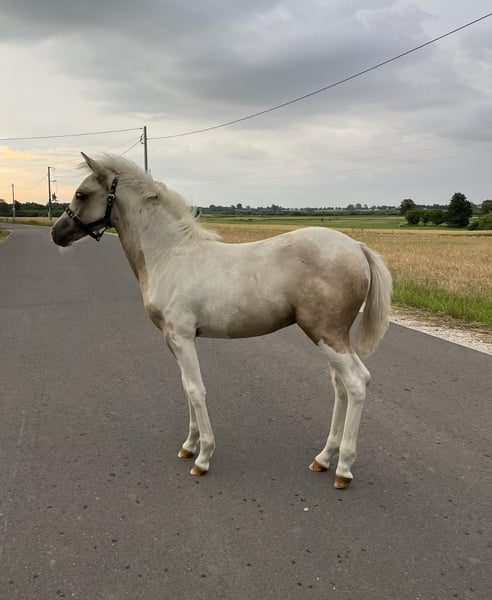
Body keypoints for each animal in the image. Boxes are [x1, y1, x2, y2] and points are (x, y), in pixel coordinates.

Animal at [52, 154, 392, 489]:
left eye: (81, 194)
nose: (57, 233)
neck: (170, 255)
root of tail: (357, 248)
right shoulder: (174, 339)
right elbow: (185, 387)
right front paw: (188, 447)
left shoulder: (182, 336)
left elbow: (195, 389)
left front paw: (203, 457)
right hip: (333, 337)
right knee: (340, 387)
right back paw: (323, 458)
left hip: (326, 334)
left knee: (357, 382)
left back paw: (343, 468)